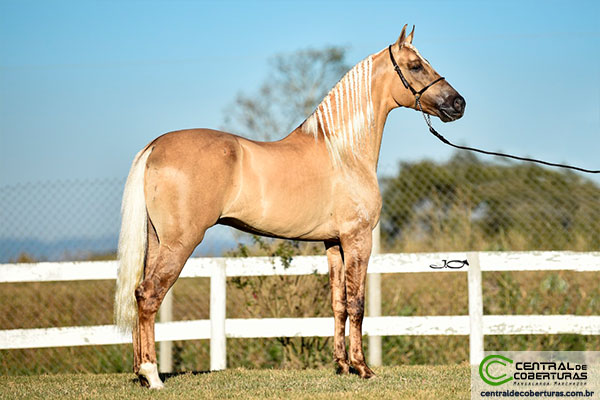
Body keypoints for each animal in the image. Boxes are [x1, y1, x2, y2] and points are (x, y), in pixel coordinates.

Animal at [115, 25, 466, 388]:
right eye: (415, 66)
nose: (458, 103)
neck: (344, 151)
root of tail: (155, 146)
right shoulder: (357, 239)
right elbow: (357, 304)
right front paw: (363, 368)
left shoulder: (333, 243)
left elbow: (338, 304)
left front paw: (342, 366)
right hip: (180, 242)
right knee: (149, 294)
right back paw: (152, 375)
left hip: (157, 241)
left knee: (139, 294)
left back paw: (141, 372)